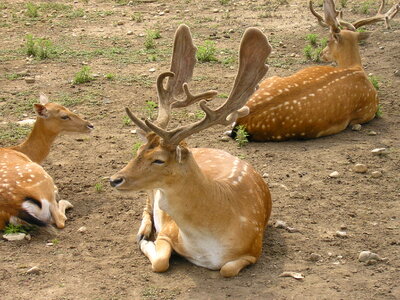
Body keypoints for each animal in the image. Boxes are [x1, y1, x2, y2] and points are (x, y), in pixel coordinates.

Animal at [0, 95, 94, 231]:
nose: (90, 125)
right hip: (44, 178)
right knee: (59, 220)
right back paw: (65, 201)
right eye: (64, 116)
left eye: (68, 108)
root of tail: (15, 206)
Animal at [109, 24, 272, 278]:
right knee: (146, 206)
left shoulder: (254, 248)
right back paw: (143, 232)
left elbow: (227, 269)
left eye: (158, 160)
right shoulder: (168, 231)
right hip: (150, 193)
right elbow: (161, 261)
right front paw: (146, 241)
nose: (115, 179)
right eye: (138, 150)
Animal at [231, 0, 400, 142]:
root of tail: (241, 121)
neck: (356, 68)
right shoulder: (370, 110)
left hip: (270, 80)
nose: (322, 53)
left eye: (328, 41)